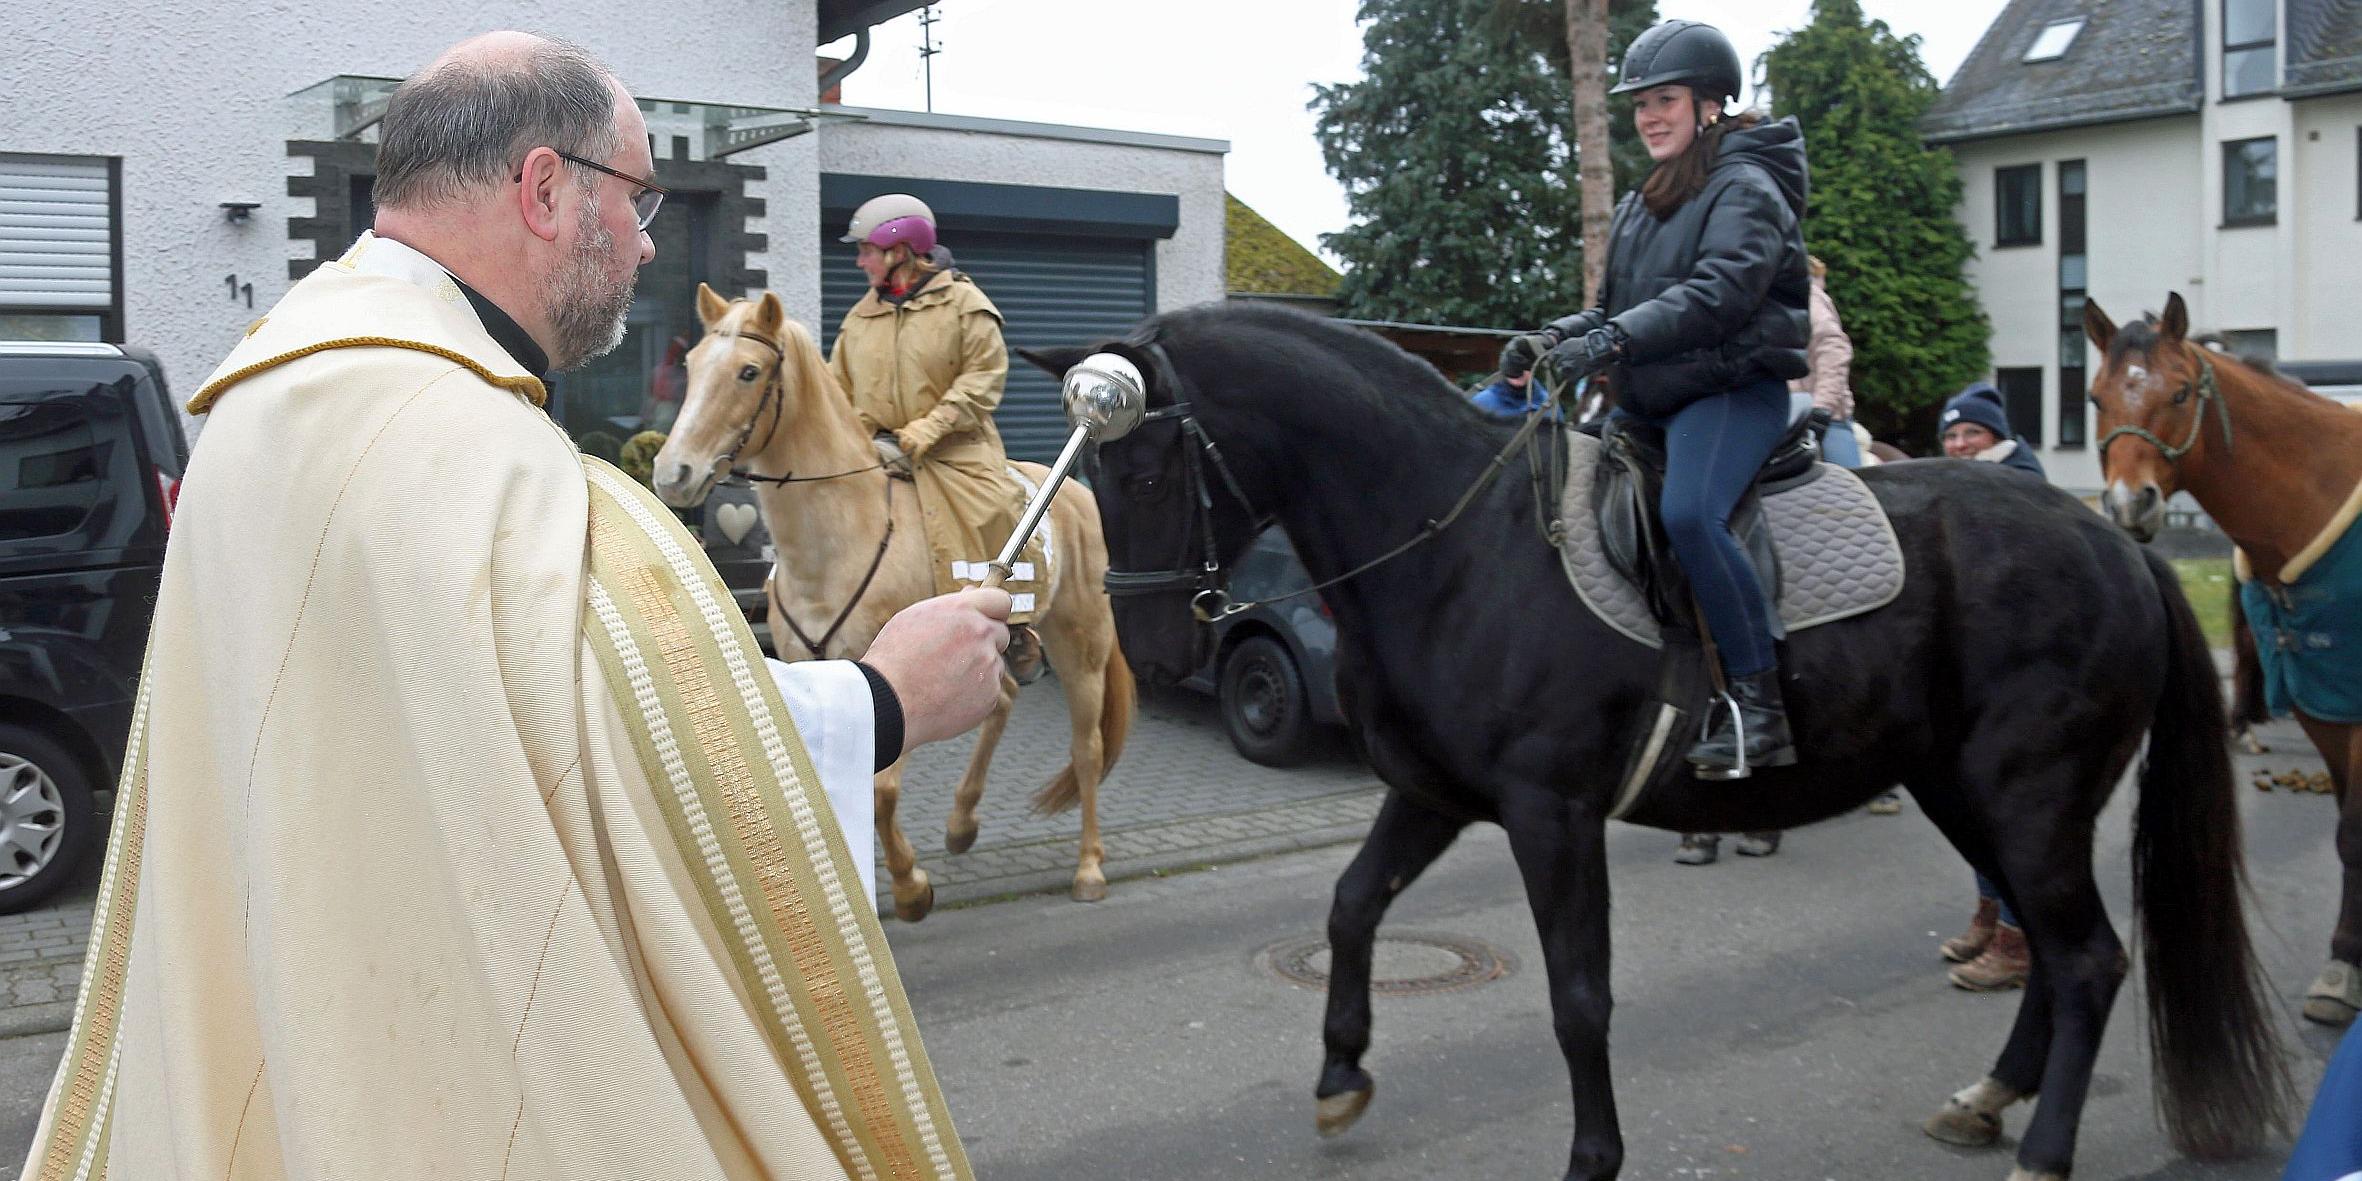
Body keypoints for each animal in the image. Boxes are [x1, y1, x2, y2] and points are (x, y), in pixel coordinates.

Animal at [642, 285, 1129, 921]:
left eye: (748, 372)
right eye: (693, 365)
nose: (673, 474)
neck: (840, 540)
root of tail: (1075, 493)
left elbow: (882, 790)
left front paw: (910, 887)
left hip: (1081, 642)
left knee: (1087, 749)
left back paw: (1090, 866)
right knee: (1002, 701)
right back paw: (962, 824)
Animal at [1020, 304, 2286, 1181]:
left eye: (1146, 461)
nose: (1144, 648)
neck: (1457, 544)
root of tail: (2117, 542)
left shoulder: (1551, 813)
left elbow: (1579, 994)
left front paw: (1593, 1156)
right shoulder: (1433, 793)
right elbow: (1349, 904)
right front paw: (1340, 1073)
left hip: (2027, 796)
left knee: (2088, 959)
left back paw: (2041, 1148)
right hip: (1968, 791)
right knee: (2051, 949)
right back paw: (1987, 1098)